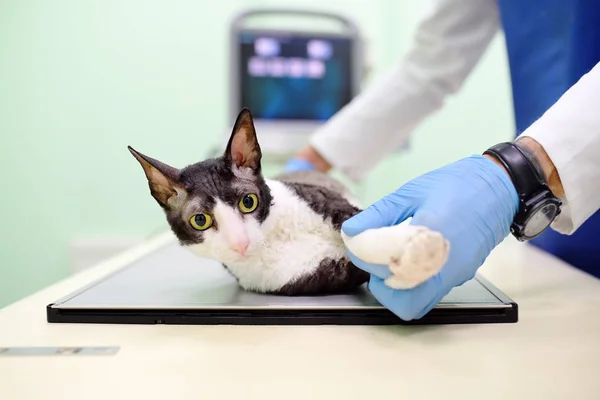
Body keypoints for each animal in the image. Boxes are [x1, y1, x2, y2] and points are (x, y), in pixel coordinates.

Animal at [131, 108, 450, 296]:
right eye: (201, 220)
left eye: (248, 202)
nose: (240, 243)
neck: (274, 239)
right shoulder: (308, 277)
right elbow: (360, 267)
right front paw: (416, 264)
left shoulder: (332, 206)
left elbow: (357, 229)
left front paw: (416, 250)